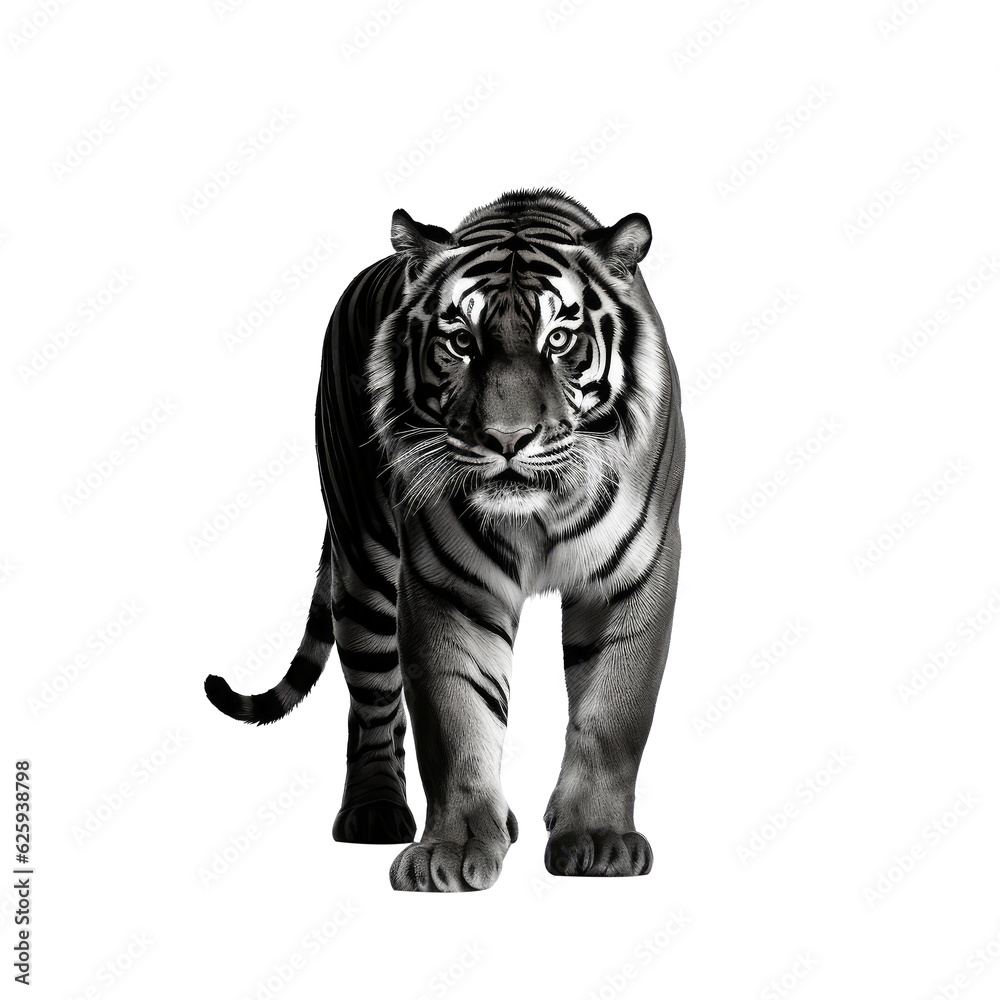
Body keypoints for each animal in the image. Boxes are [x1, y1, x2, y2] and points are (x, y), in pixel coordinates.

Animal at [204, 188, 685, 892]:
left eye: (559, 339)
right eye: (460, 341)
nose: (508, 438)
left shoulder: (633, 575)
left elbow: (612, 716)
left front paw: (597, 842)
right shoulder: (448, 584)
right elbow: (455, 719)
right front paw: (451, 852)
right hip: (364, 563)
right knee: (373, 700)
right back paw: (375, 813)